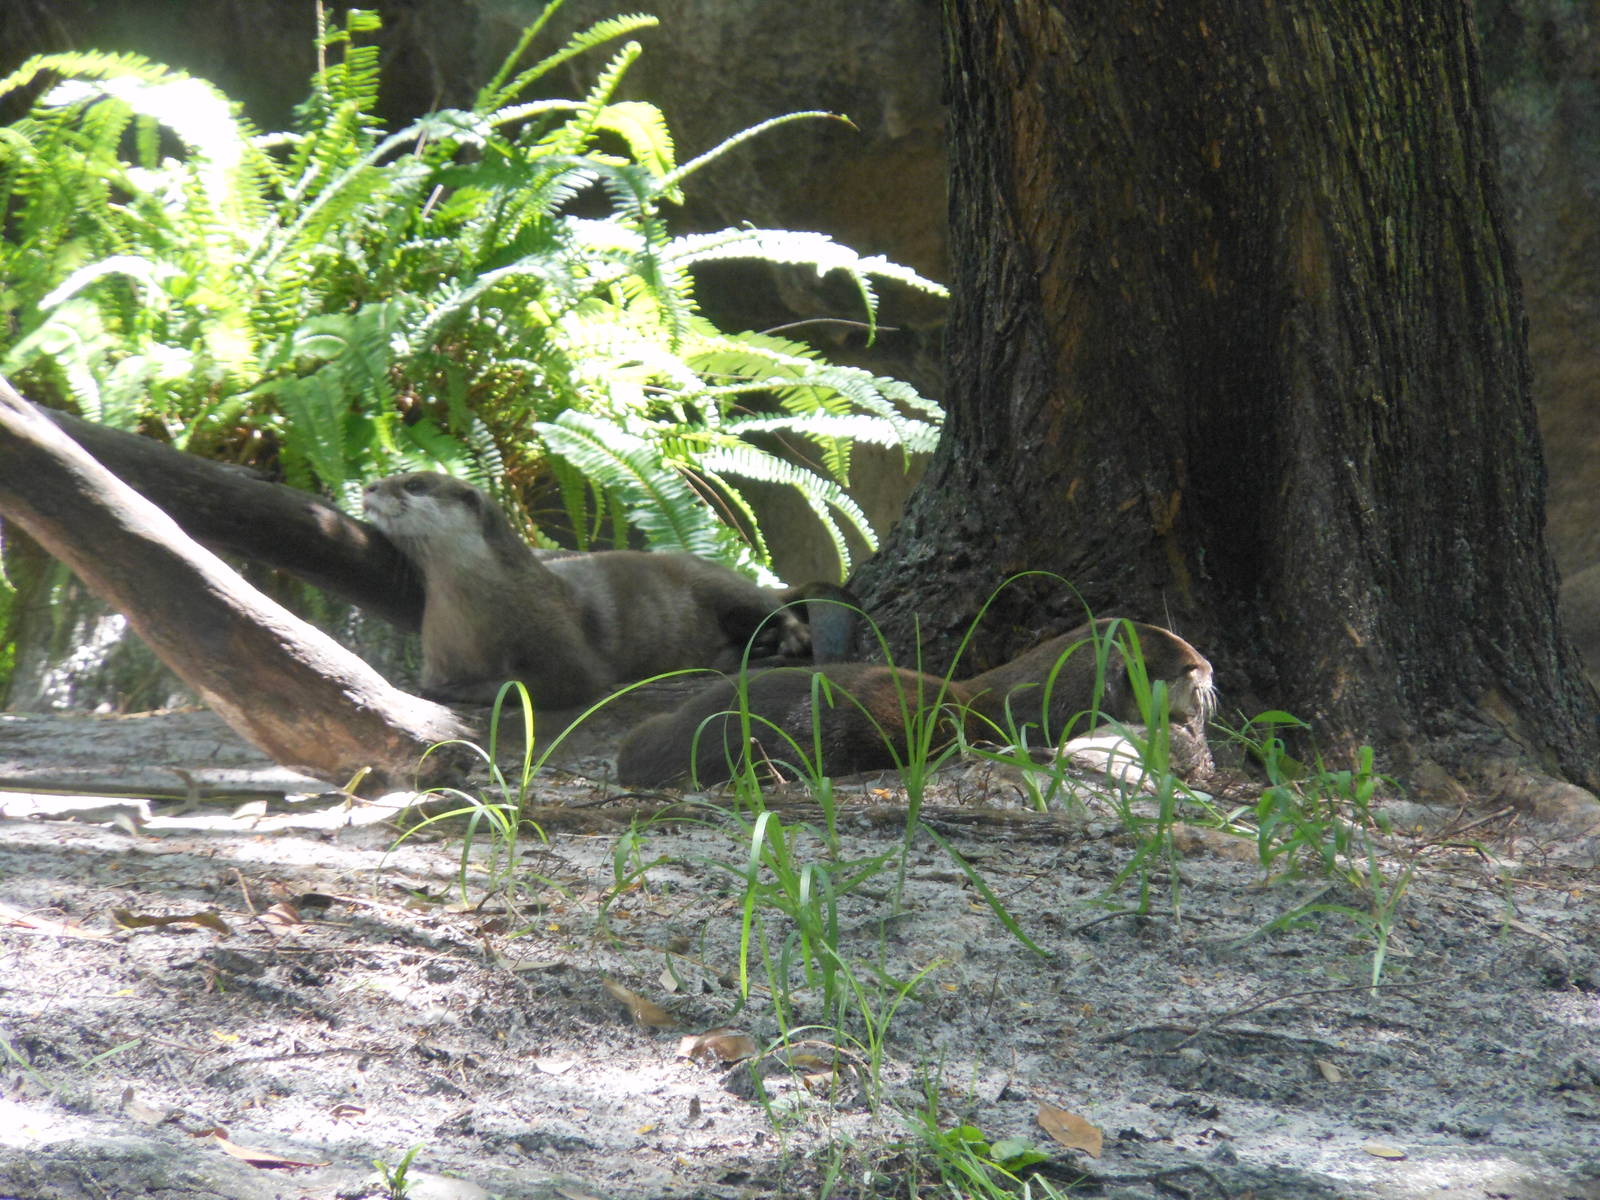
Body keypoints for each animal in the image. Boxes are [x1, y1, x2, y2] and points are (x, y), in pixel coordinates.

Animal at [363, 472, 852, 707]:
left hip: (716, 581)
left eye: (414, 484)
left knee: (770, 603)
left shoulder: (560, 645)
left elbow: (551, 683)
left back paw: (787, 636)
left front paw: (455, 692)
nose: (369, 486)